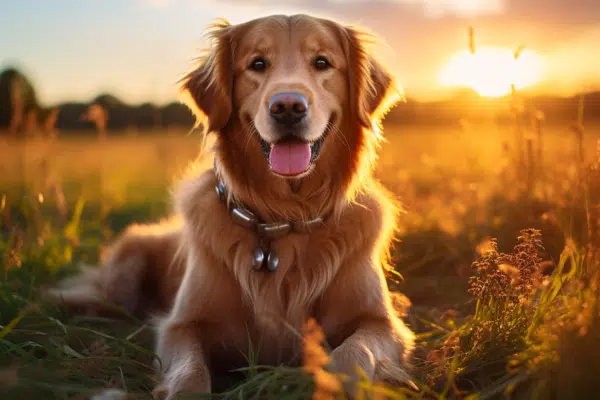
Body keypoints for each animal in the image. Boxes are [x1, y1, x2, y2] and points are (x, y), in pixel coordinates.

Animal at [47, 14, 414, 398]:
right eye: (257, 64)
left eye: (322, 62)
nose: (288, 107)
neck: (284, 218)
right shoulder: (181, 326)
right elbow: (190, 374)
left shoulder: (383, 324)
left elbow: (354, 353)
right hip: (125, 269)